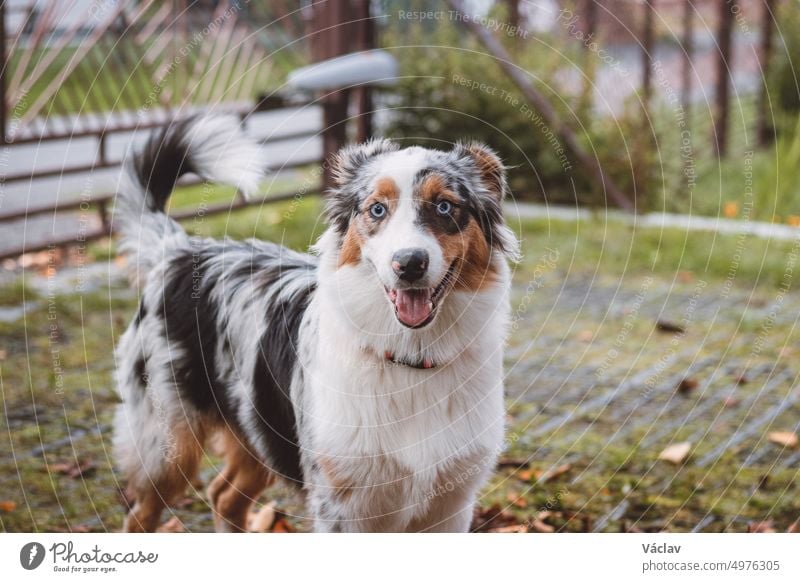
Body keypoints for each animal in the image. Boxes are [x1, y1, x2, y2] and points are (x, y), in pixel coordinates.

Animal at [114, 114, 520, 532]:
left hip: (261, 430)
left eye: (444, 206)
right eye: (377, 210)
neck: (408, 357)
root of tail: (181, 250)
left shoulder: (451, 504)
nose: (408, 263)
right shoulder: (339, 506)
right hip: (167, 447)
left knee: (223, 496)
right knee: (140, 514)